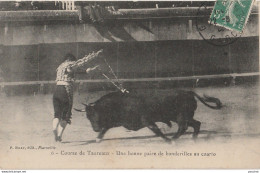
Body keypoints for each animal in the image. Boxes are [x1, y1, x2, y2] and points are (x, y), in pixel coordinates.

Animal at [74, 90, 221, 143]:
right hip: (182, 117)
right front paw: (98, 138)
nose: (95, 129)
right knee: (195, 124)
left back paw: (175, 138)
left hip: (181, 116)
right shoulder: (118, 122)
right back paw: (193, 138)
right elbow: (105, 128)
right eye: (87, 116)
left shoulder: (147, 121)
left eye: (96, 114)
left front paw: (167, 140)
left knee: (185, 127)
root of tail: (188, 92)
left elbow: (157, 130)